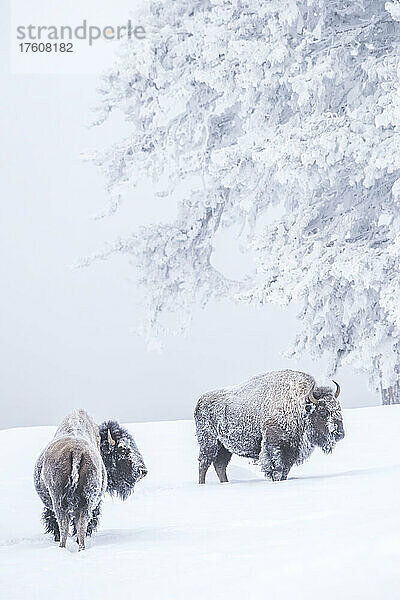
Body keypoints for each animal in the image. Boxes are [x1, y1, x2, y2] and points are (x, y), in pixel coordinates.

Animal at [33, 410, 107, 552]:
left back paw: (61, 547)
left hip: (59, 500)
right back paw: (81, 548)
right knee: (81, 526)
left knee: (64, 525)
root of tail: (77, 450)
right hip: (87, 500)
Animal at [194, 370, 344, 482]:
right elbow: (276, 469)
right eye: (323, 411)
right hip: (209, 443)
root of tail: (200, 401)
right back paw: (202, 484)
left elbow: (285, 470)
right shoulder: (275, 447)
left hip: (224, 447)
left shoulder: (290, 452)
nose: (340, 434)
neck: (300, 406)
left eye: (339, 409)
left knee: (220, 465)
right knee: (204, 463)